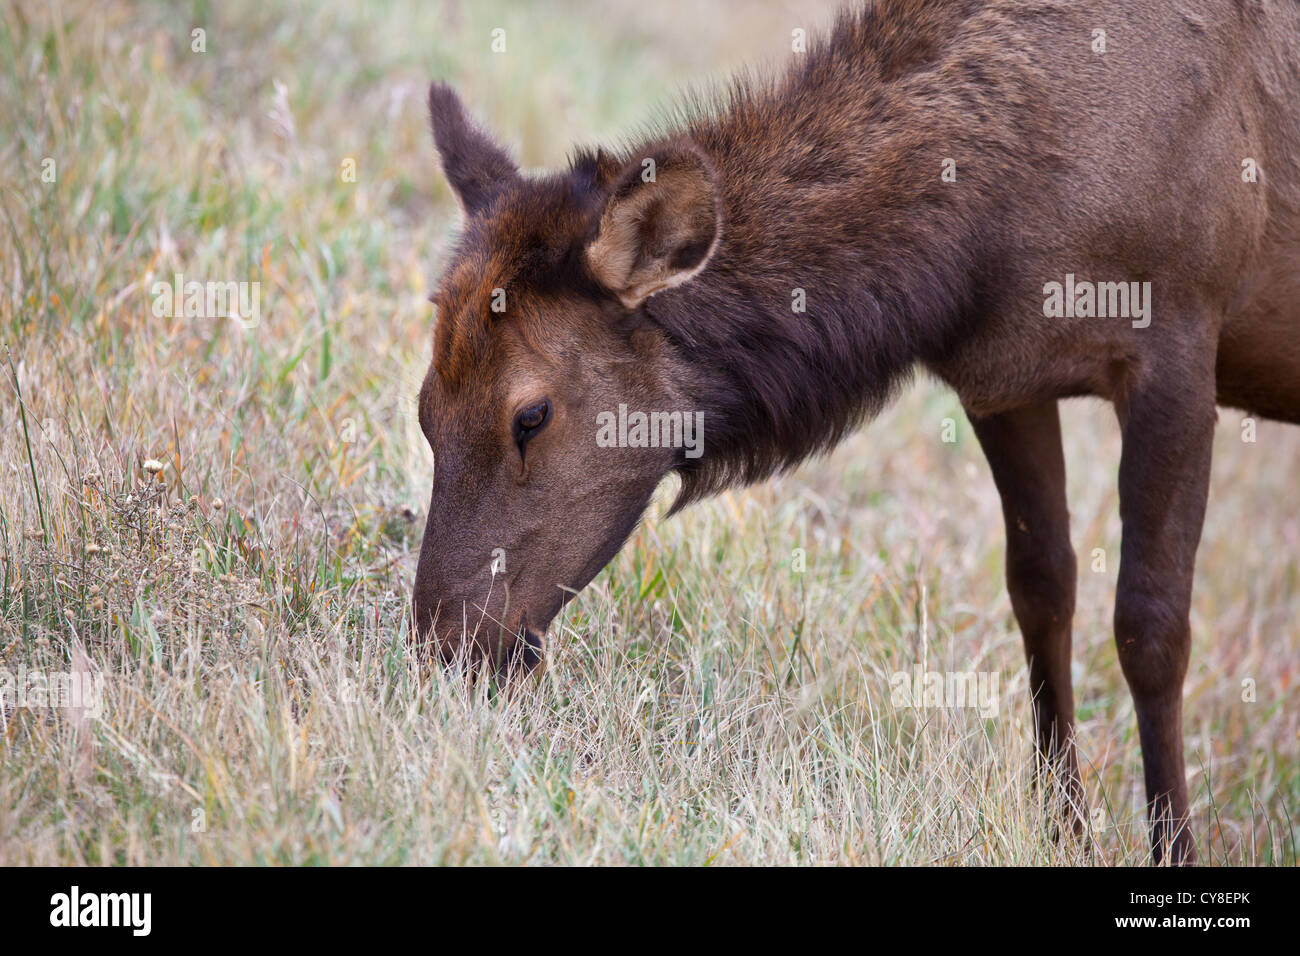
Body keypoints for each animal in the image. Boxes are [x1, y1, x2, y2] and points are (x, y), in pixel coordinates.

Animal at [413, 0, 1300, 868]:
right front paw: (1064, 832)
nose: (443, 652)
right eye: (424, 409)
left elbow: (1152, 628)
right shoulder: (1005, 378)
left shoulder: (1180, 342)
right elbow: (1042, 592)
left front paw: (1174, 849)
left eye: (530, 415)